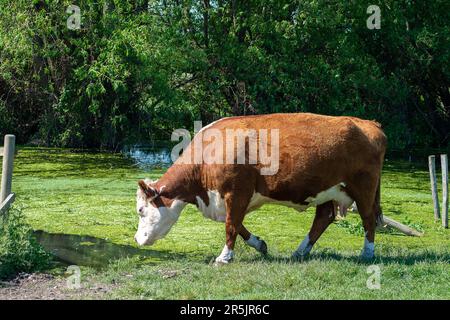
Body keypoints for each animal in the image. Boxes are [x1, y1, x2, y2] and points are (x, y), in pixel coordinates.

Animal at [134, 114, 386, 264]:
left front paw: (224, 257)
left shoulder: (237, 191)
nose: (136, 239)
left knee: (368, 218)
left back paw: (367, 253)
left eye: (140, 210)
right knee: (324, 217)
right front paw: (260, 244)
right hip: (326, 189)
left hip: (363, 186)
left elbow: (231, 225)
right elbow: (237, 224)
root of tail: (369, 123)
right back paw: (300, 251)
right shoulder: (226, 198)